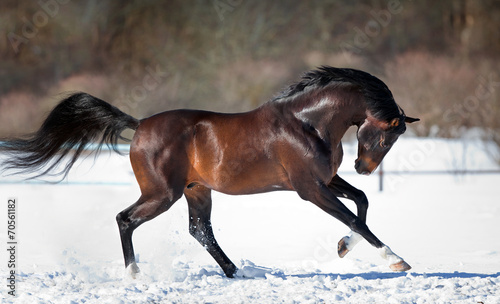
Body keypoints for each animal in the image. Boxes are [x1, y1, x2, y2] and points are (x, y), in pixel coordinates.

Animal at [0, 66, 418, 278]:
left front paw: (343, 247)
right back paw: (135, 274)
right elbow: (356, 217)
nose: (363, 168)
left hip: (196, 189)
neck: (307, 123)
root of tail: (140, 125)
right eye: (386, 136)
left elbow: (361, 204)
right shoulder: (310, 188)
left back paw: (236, 272)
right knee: (125, 219)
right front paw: (397, 260)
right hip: (162, 194)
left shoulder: (326, 180)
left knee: (199, 230)